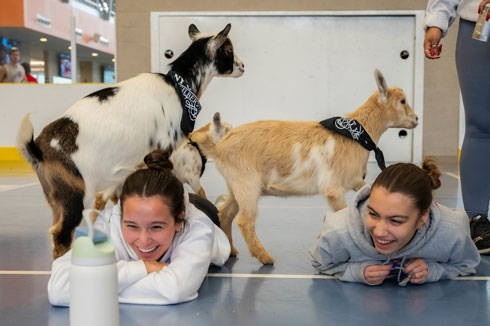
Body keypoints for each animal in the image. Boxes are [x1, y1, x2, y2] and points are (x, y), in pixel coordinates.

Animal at [16, 23, 244, 260]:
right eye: (228, 49)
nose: (242, 66)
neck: (179, 88)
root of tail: (38, 148)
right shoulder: (162, 149)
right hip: (75, 194)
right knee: (61, 233)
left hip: (56, 197)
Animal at [191, 69, 418, 264]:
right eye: (402, 100)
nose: (416, 119)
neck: (356, 134)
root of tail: (218, 147)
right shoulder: (333, 188)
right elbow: (342, 215)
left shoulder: (354, 179)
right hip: (247, 185)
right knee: (244, 221)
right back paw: (265, 257)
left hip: (235, 186)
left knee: (225, 213)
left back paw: (232, 251)